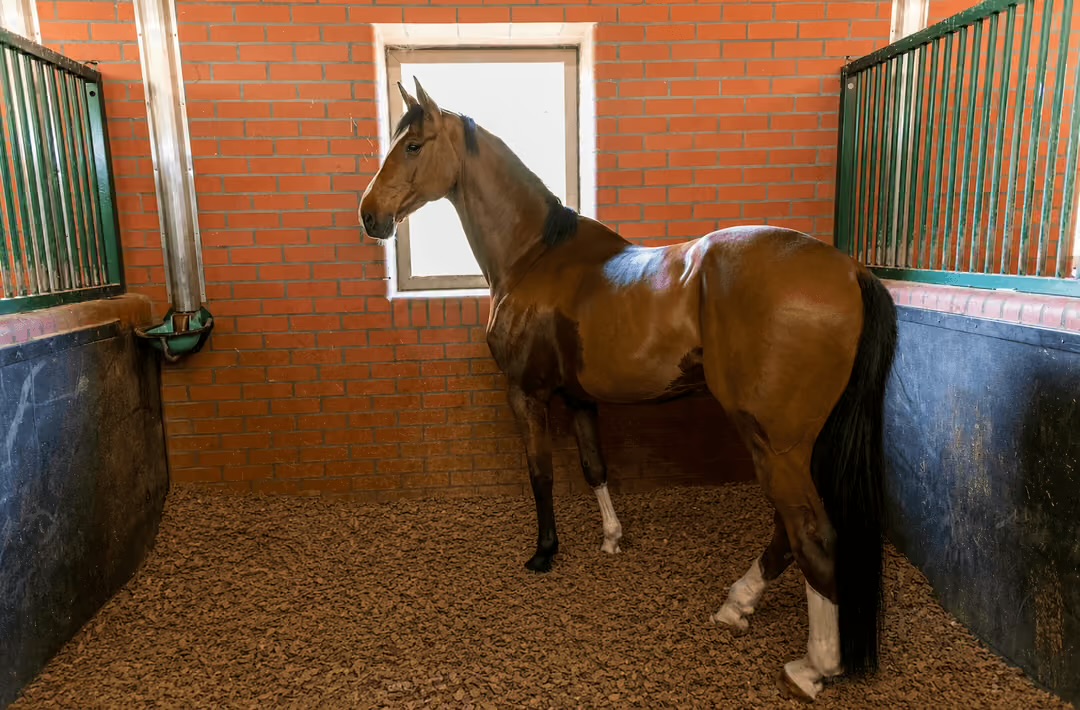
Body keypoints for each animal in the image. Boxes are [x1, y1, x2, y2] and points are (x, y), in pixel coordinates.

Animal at [358, 78, 898, 703]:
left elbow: (540, 473)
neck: (536, 255)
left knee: (811, 534)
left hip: (776, 445)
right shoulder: (578, 398)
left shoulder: (527, 393)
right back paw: (738, 605)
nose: (369, 215)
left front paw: (545, 552)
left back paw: (813, 666)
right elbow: (594, 467)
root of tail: (852, 271)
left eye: (413, 145)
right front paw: (613, 538)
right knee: (789, 532)